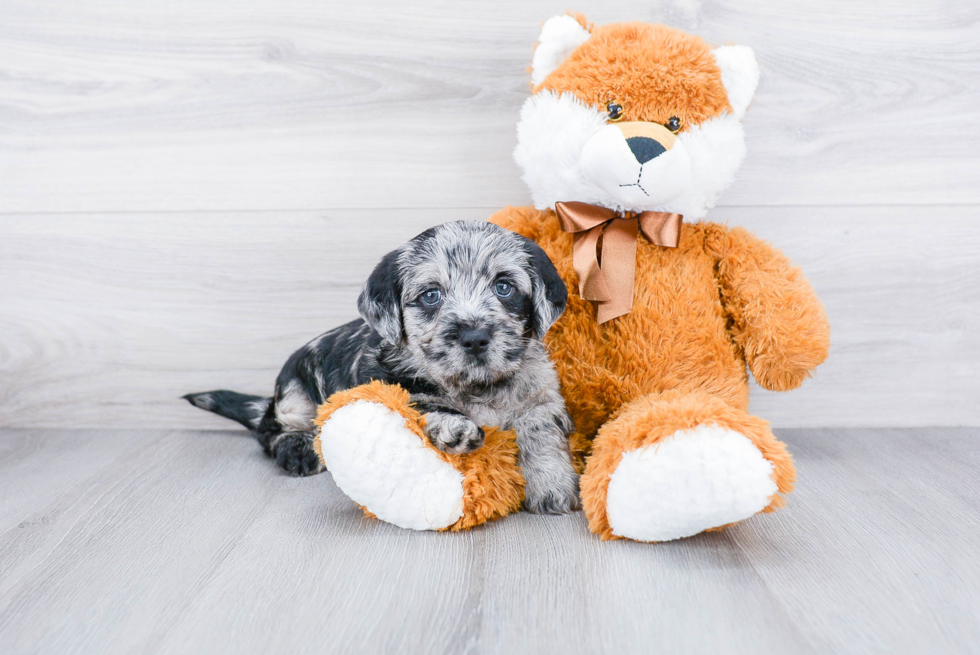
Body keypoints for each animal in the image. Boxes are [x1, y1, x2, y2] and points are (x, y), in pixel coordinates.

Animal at [188, 223, 580, 516]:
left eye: (504, 287)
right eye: (431, 295)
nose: (474, 337)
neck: (477, 386)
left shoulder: (541, 394)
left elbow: (540, 430)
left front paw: (551, 484)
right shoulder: (393, 382)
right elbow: (424, 401)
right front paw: (455, 426)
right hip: (294, 397)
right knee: (270, 432)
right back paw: (297, 449)